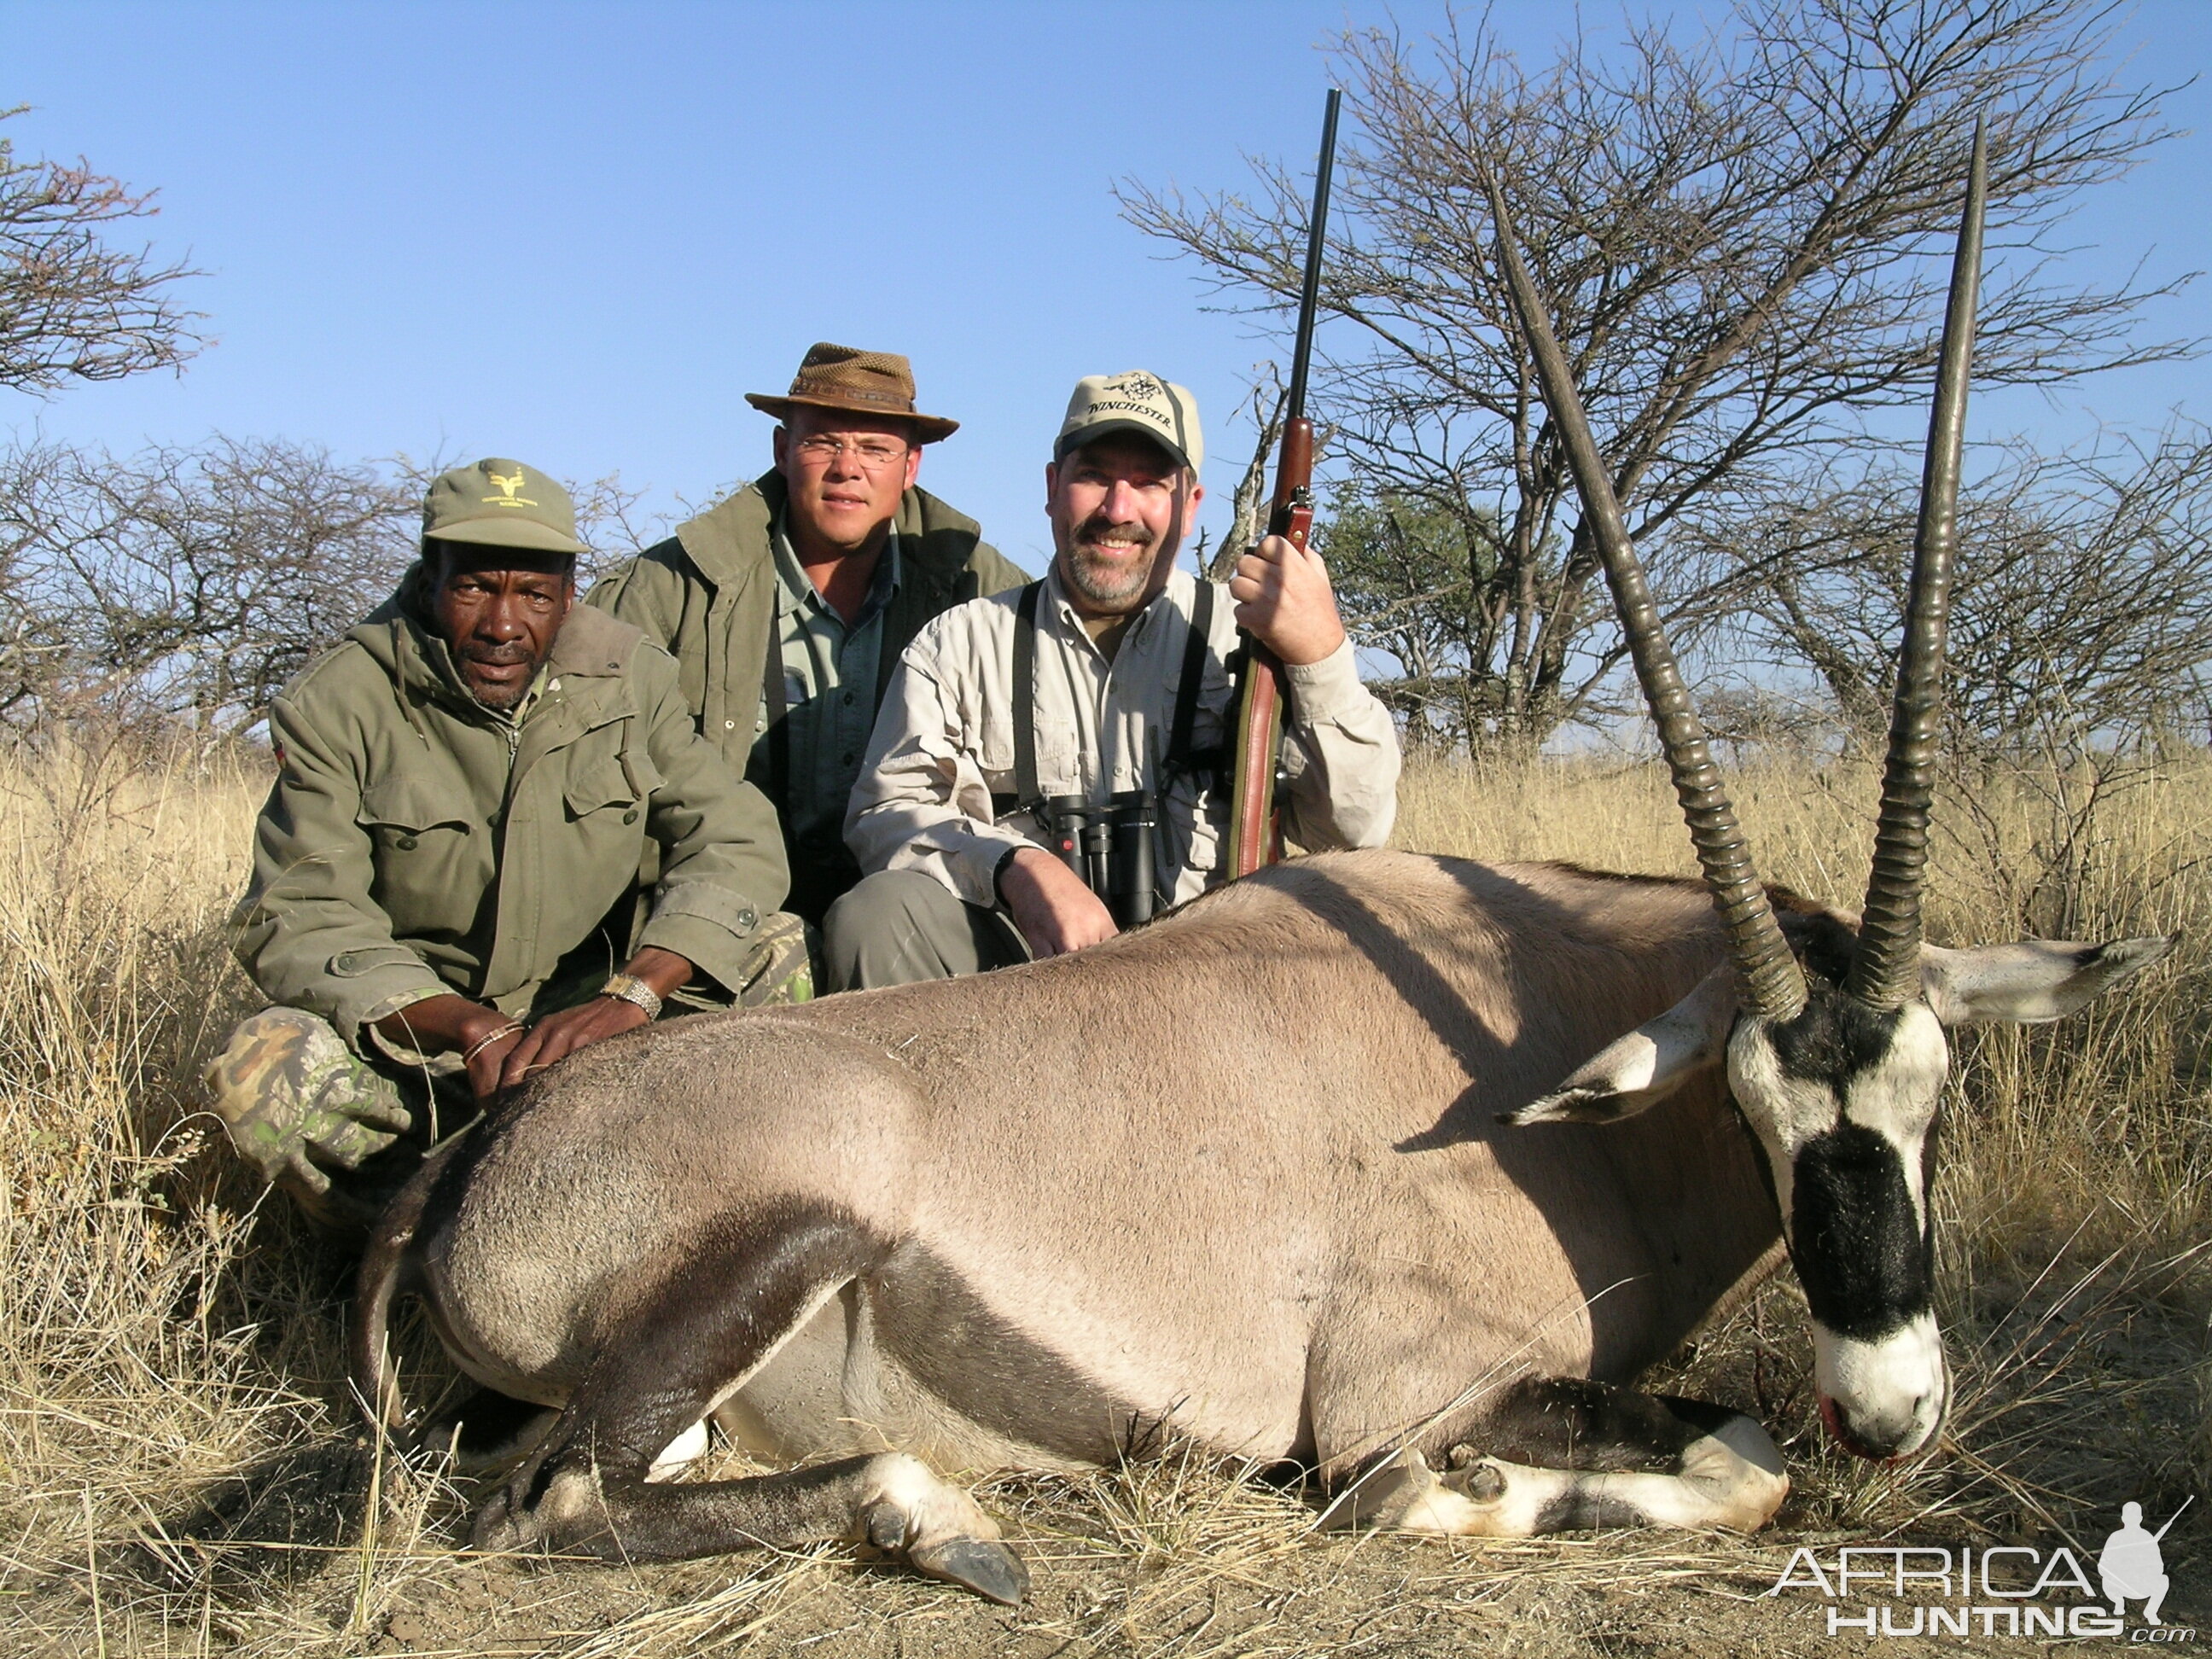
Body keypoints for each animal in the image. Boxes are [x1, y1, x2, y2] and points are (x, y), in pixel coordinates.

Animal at [353, 133, 2168, 1610]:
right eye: (1753, 1107)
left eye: (1935, 1095)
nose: (1888, 1406)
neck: (1531, 1060)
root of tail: (480, 1158)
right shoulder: (1404, 1385)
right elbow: (1693, 1464)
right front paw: (1479, 1491)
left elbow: (1740, 1441)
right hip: (784, 1233)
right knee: (542, 1504)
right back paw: (941, 1517)